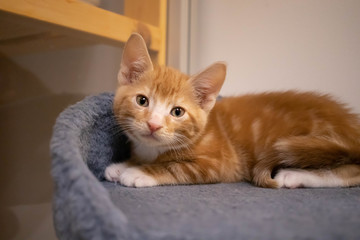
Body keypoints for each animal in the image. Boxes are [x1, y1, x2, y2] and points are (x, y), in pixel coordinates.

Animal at [104, 33, 360, 188]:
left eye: (177, 112)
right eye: (142, 101)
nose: (153, 124)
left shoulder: (221, 164)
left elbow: (176, 167)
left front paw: (139, 172)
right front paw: (125, 165)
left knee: (352, 172)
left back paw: (294, 175)